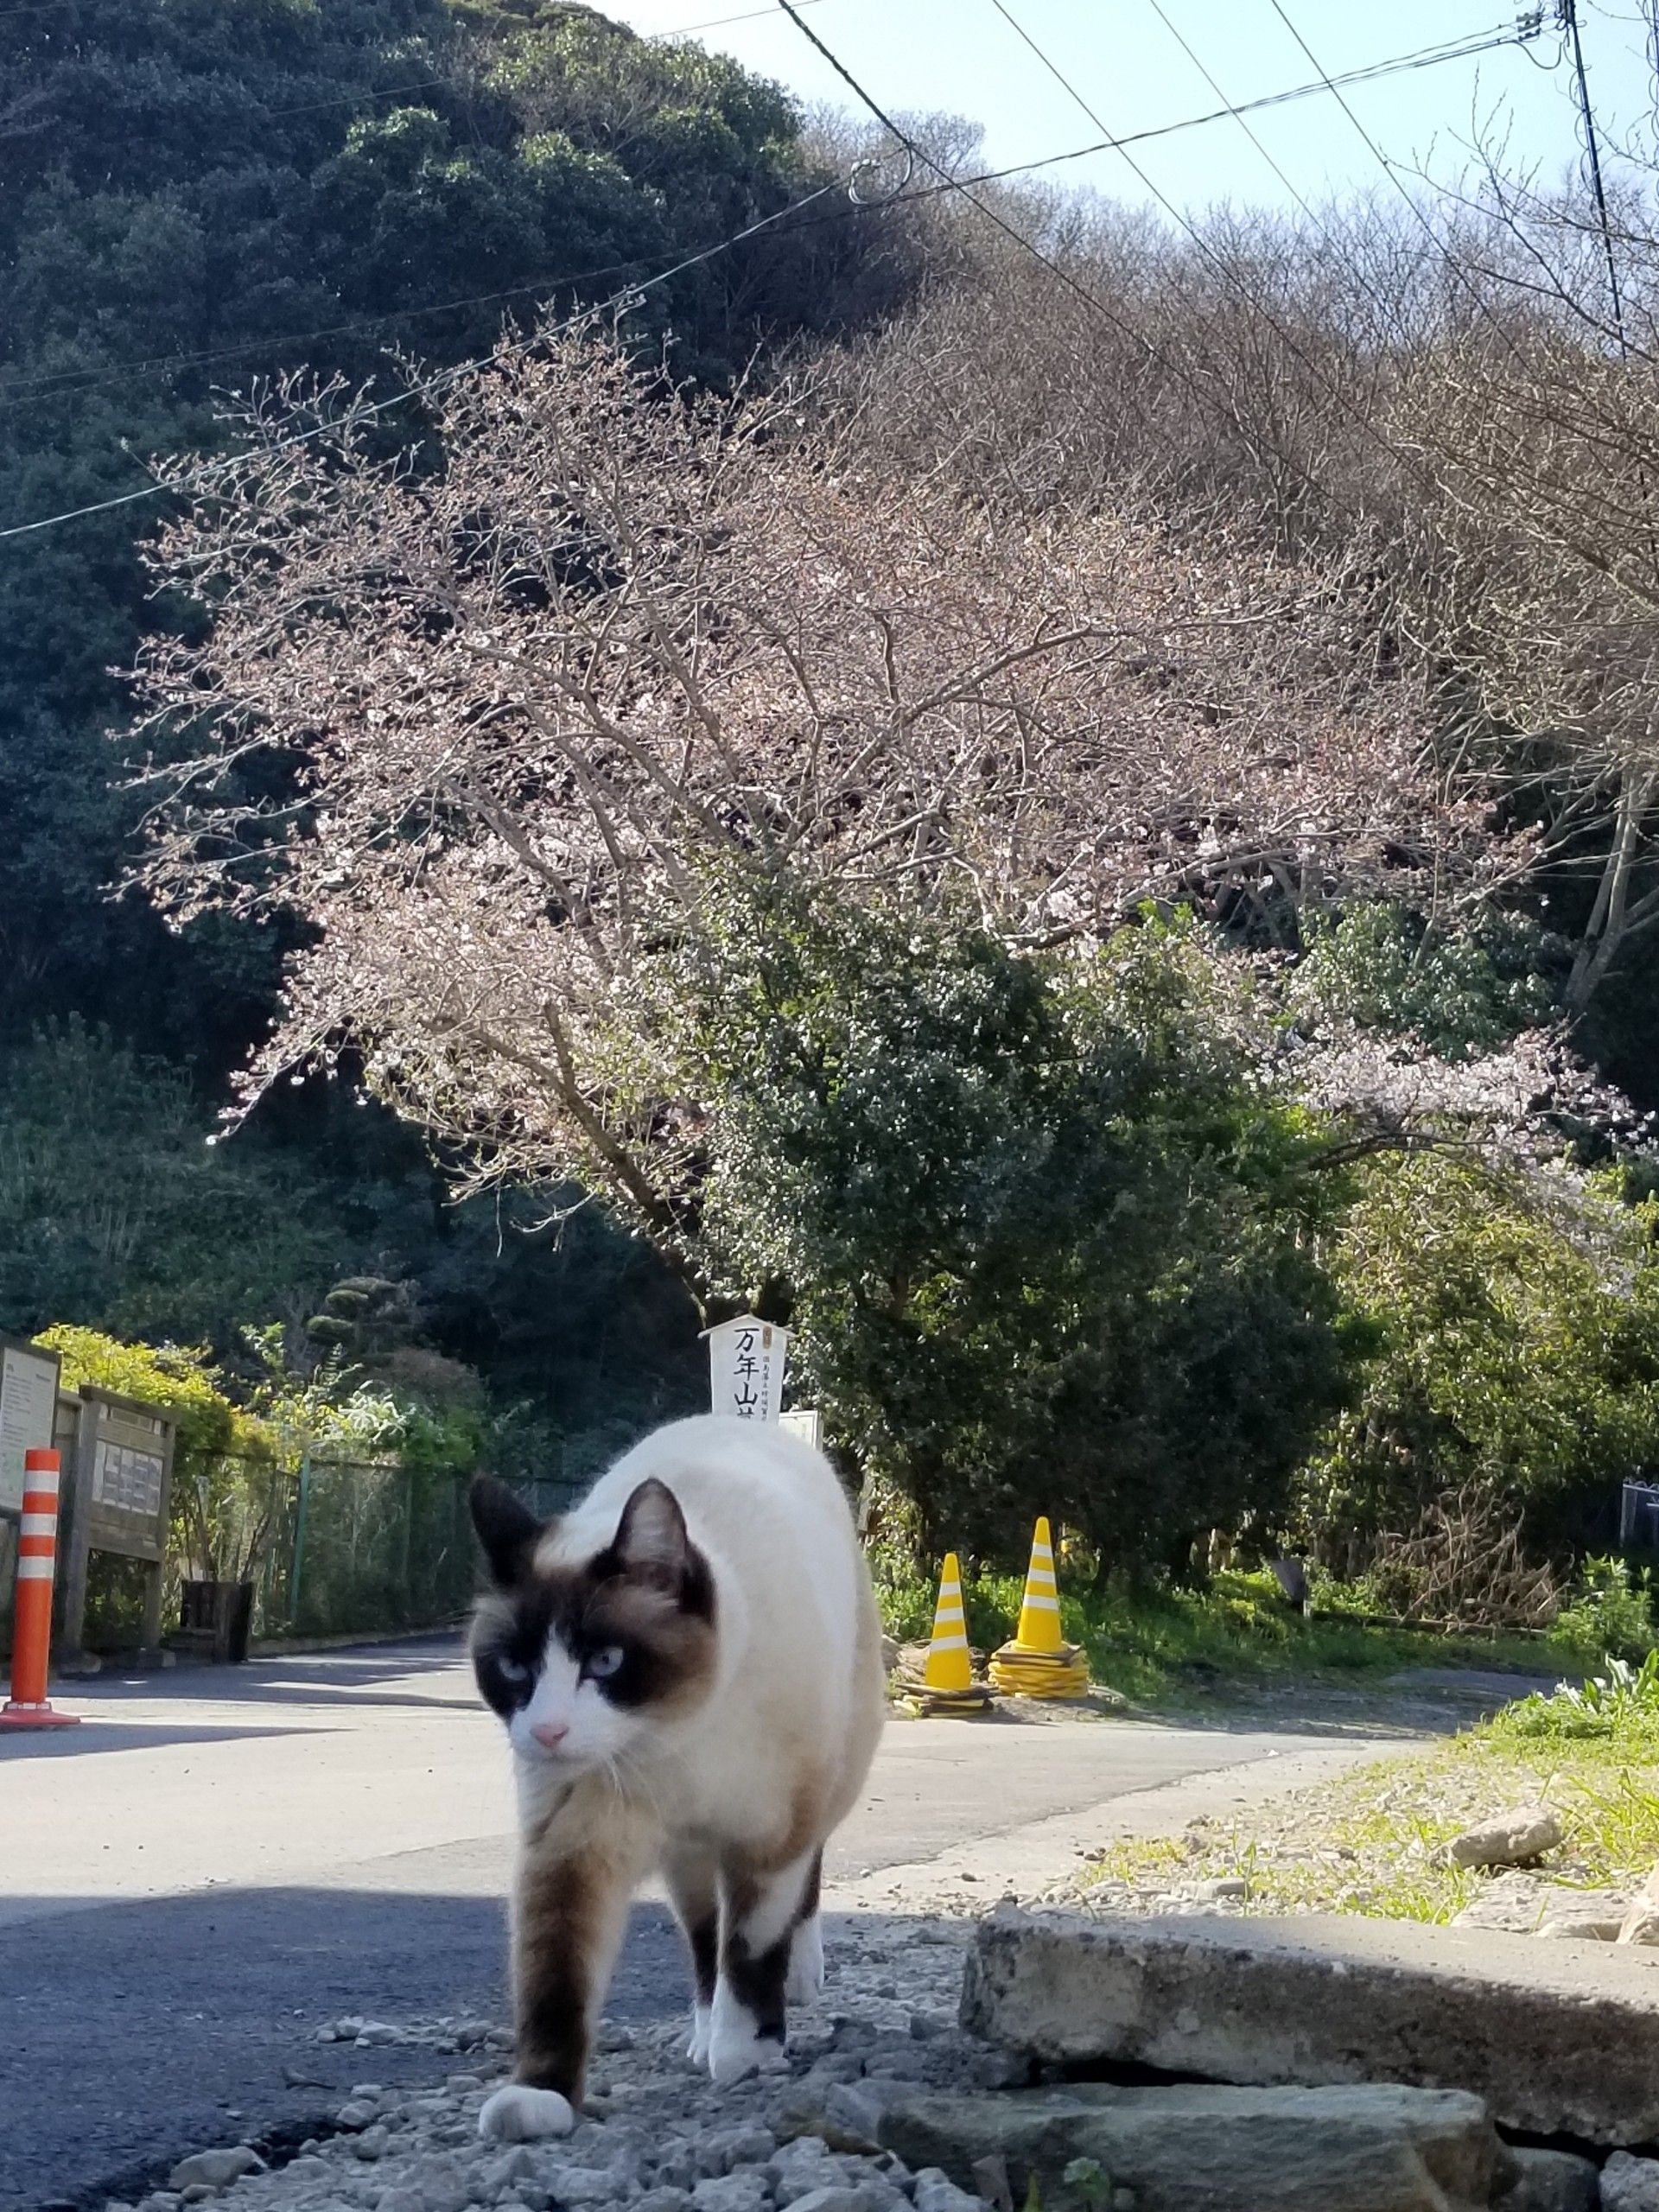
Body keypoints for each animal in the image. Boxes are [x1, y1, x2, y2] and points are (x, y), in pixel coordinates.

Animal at [462, 1415, 889, 2141]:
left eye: (606, 1662)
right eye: (515, 1669)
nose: (546, 1733)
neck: (673, 1739)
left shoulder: (769, 1841)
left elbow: (752, 1949)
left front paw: (745, 2055)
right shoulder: (573, 1847)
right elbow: (557, 1979)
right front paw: (541, 2096)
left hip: (831, 1782)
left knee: (802, 1890)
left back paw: (797, 1982)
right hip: (686, 1858)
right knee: (701, 1936)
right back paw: (700, 2030)